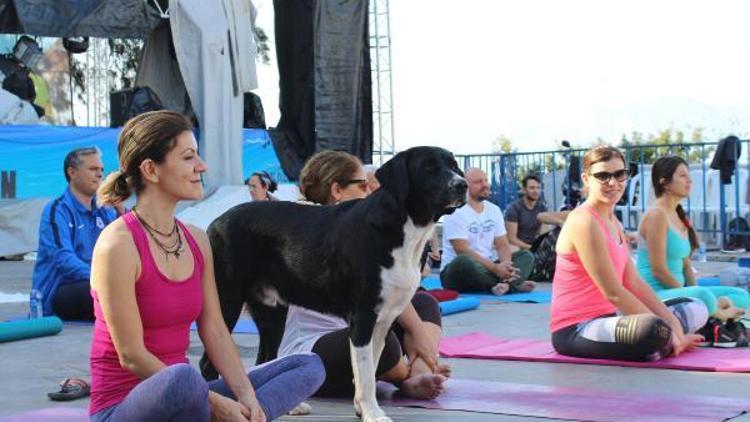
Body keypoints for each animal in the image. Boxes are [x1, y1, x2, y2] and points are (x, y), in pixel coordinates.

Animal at [203, 146, 468, 422]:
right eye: (428, 168)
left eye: (454, 165)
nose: (462, 185)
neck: (404, 229)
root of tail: (214, 223)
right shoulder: (363, 317)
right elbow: (366, 375)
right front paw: (373, 413)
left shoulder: (384, 321)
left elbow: (369, 369)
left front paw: (362, 409)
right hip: (226, 302)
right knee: (208, 364)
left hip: (272, 312)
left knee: (264, 358)